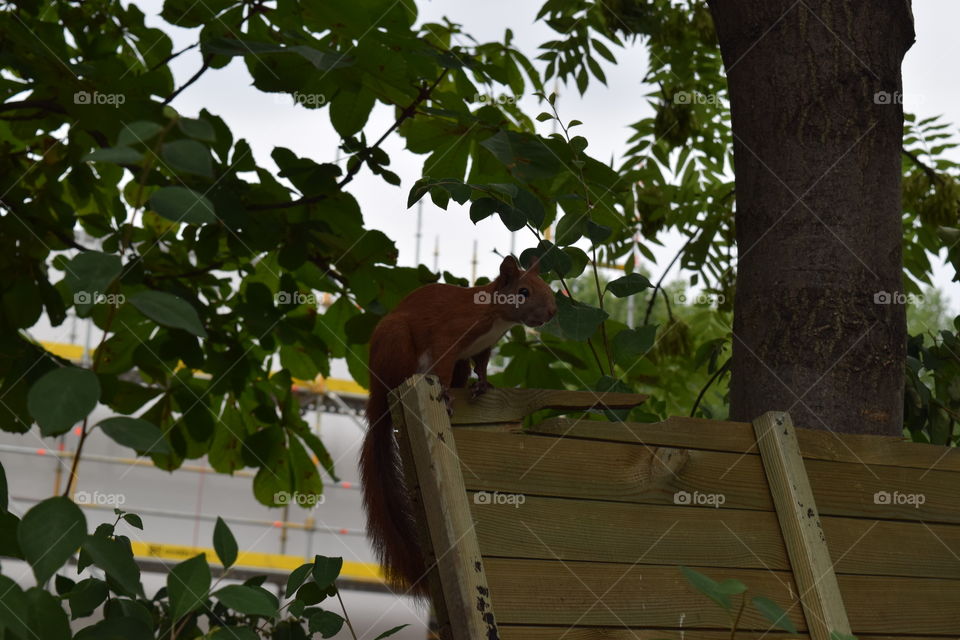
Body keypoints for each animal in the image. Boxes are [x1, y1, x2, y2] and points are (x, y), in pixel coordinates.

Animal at [360, 255, 557, 597]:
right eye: (524, 292)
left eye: (546, 286)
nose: (552, 312)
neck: (496, 317)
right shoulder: (450, 333)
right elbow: (441, 363)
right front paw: (446, 394)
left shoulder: (481, 349)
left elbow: (482, 365)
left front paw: (484, 385)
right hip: (396, 342)